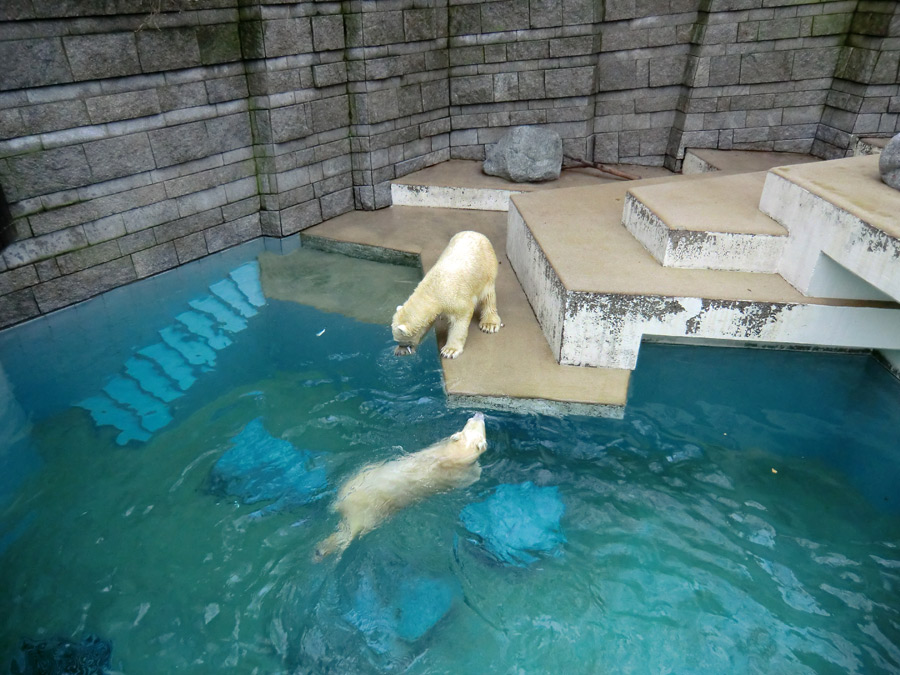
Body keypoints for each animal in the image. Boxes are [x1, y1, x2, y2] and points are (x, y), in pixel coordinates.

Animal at [314, 414, 488, 564]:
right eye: (471, 421)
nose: (479, 414)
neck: (452, 454)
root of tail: (344, 504)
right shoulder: (462, 473)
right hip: (369, 511)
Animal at [394, 231, 506, 360]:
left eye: (401, 340)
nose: (402, 347)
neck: (433, 289)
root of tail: (477, 233)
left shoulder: (454, 299)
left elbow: (460, 319)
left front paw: (450, 350)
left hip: (486, 270)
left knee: (487, 297)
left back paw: (489, 324)